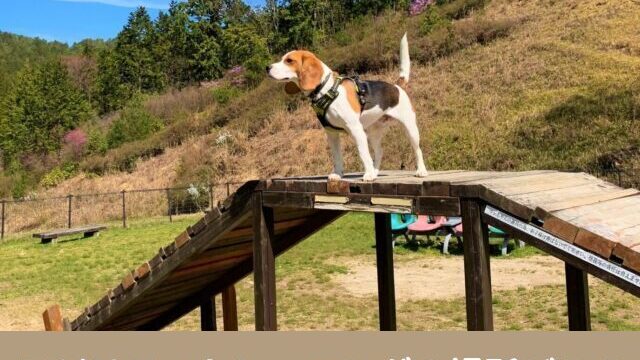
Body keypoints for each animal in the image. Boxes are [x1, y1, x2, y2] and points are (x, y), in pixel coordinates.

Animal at [268, 34, 428, 181]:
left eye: (289, 60)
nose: (267, 67)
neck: (326, 89)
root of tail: (396, 85)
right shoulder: (332, 134)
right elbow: (337, 156)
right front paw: (338, 174)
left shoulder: (356, 130)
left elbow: (363, 154)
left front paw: (368, 174)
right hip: (373, 132)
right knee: (379, 151)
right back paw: (375, 172)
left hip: (410, 128)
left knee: (418, 150)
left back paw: (420, 171)